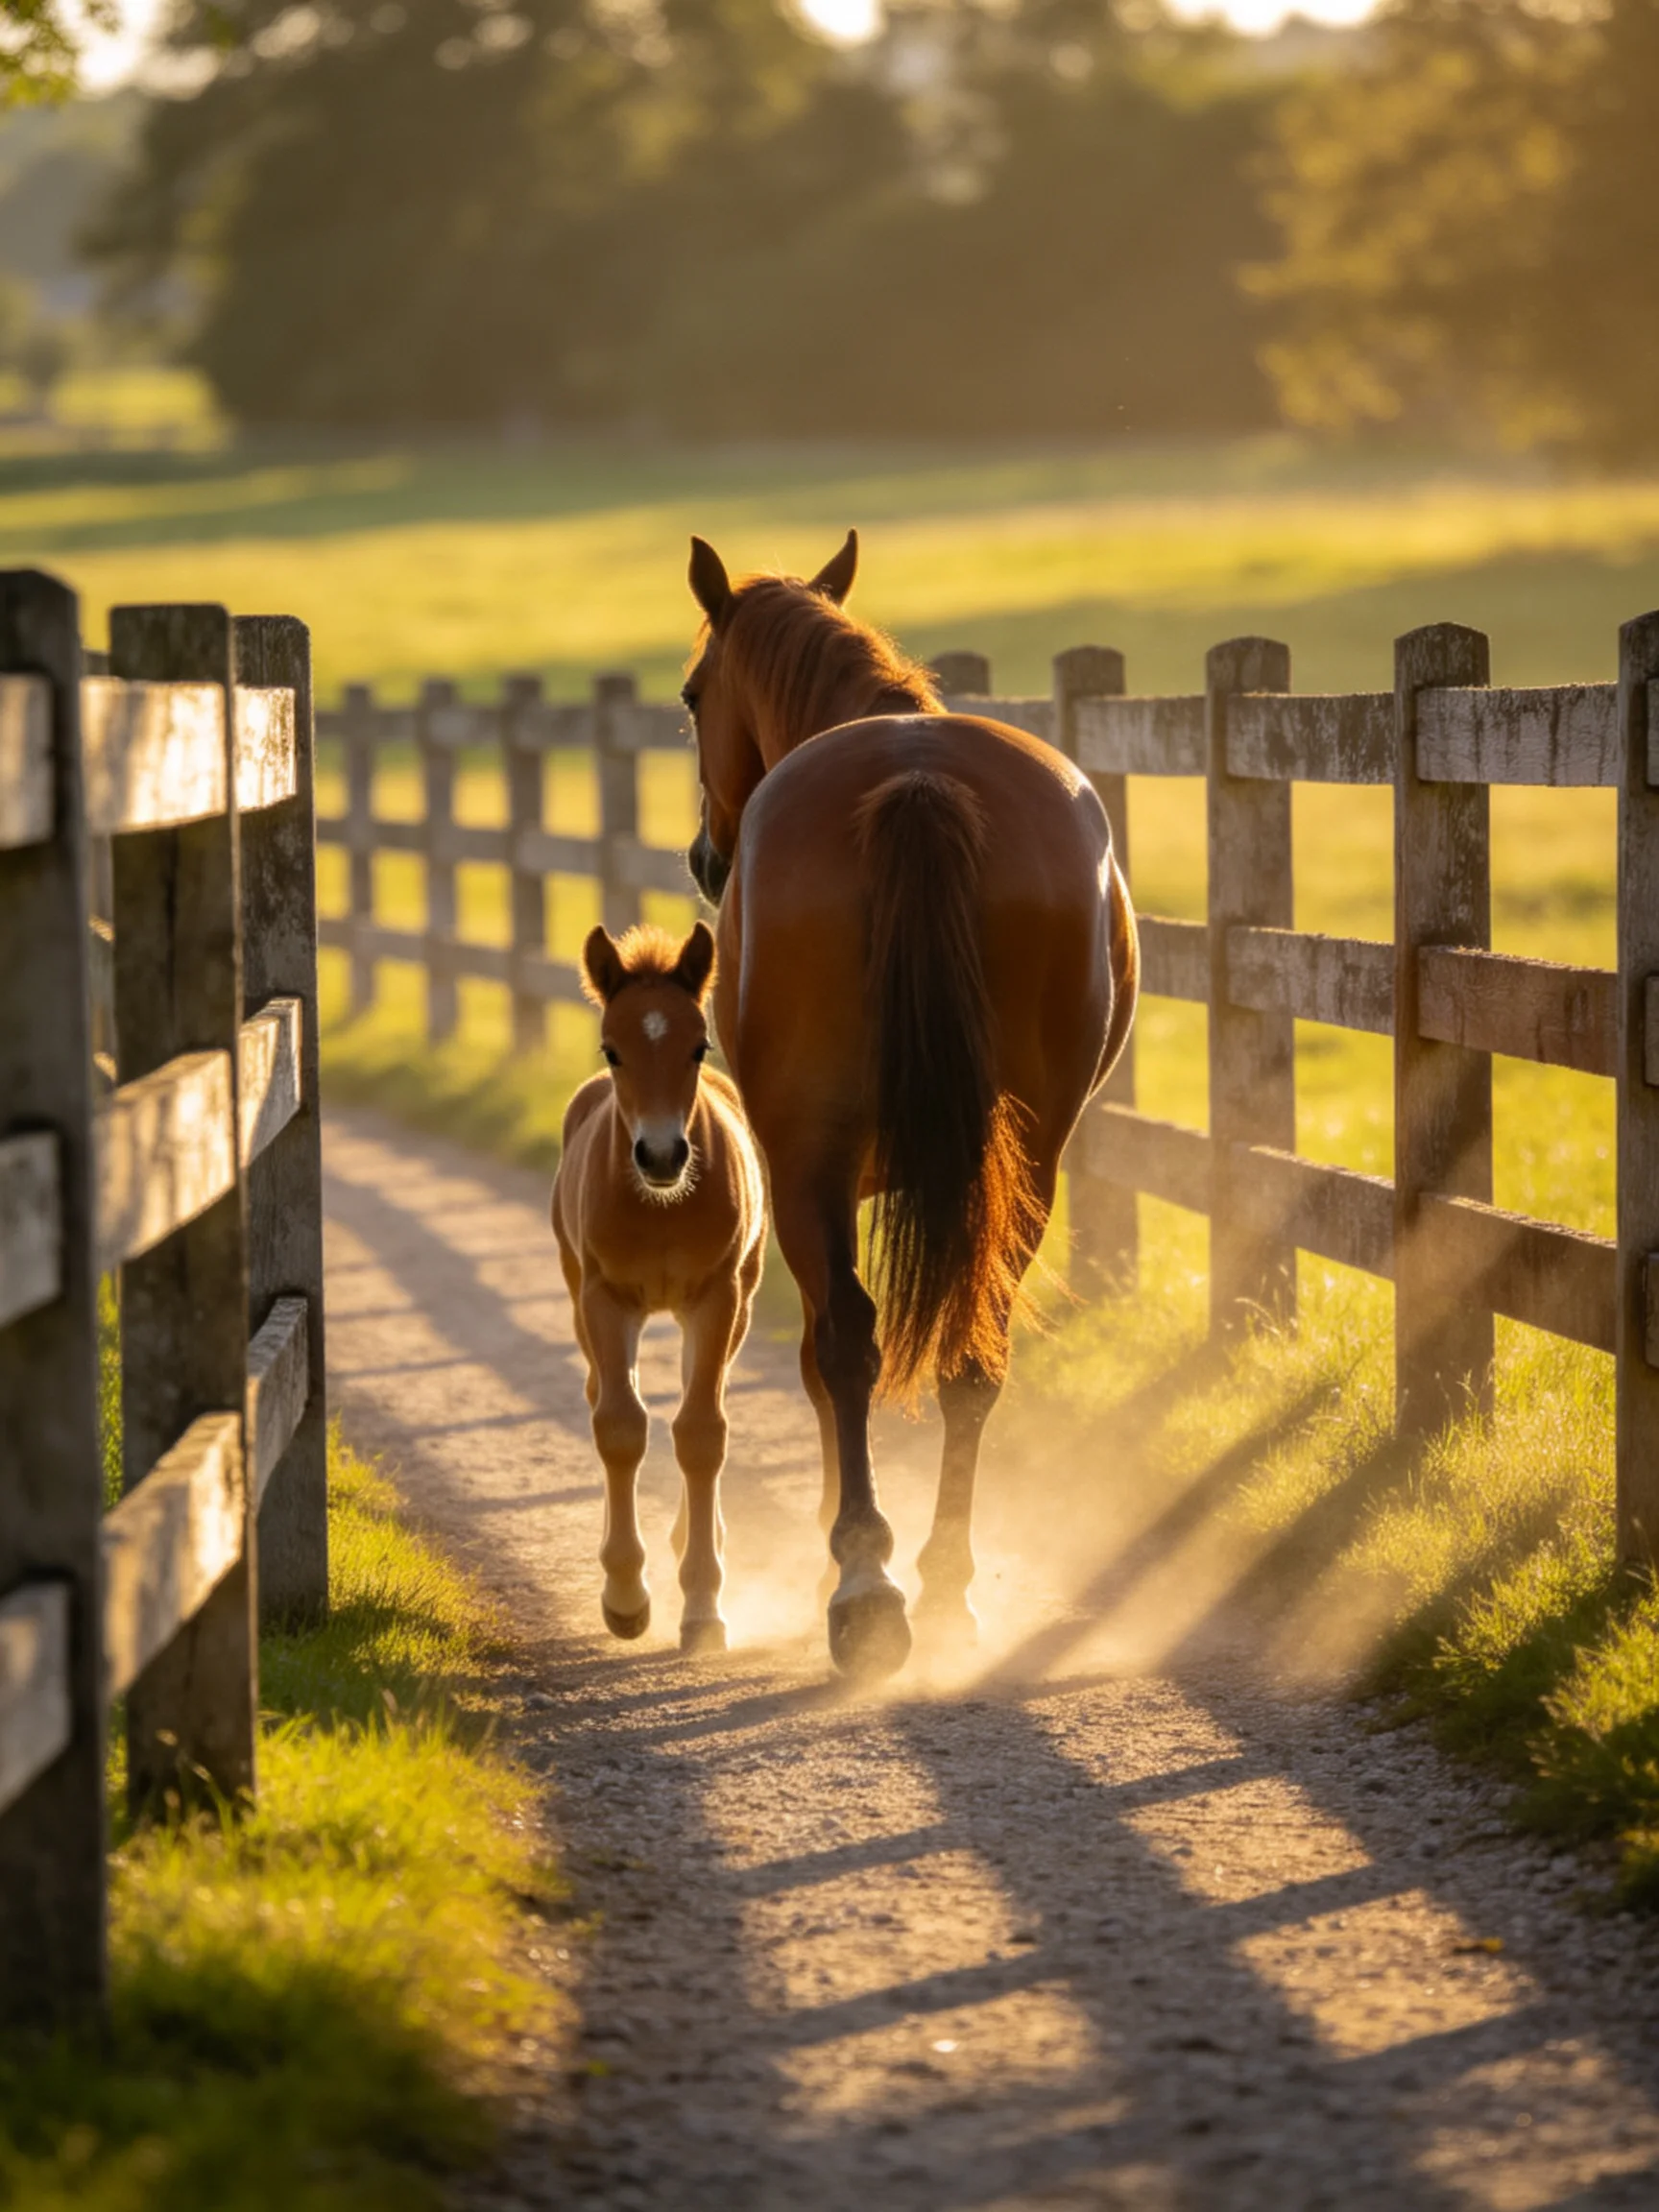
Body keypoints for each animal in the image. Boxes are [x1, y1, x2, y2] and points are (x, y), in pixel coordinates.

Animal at [552, 920, 767, 1656]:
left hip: (738, 1305)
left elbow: (701, 1432)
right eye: (612, 1049)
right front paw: (625, 1596)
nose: (663, 1154)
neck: (662, 1206)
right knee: (604, 1393)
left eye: (698, 1045)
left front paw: (702, 1605)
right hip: (579, 1297)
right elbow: (619, 1426)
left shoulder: (717, 1297)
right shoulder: (605, 1299)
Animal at [680, 529, 1138, 1678]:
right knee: (980, 1349)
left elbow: (819, 1355)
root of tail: (917, 784)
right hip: (1026, 1160)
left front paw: (836, 1554)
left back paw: (866, 1589)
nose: (705, 857)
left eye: (692, 694)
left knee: (848, 1342)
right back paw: (945, 1586)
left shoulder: (811, 1181)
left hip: (812, 1155)